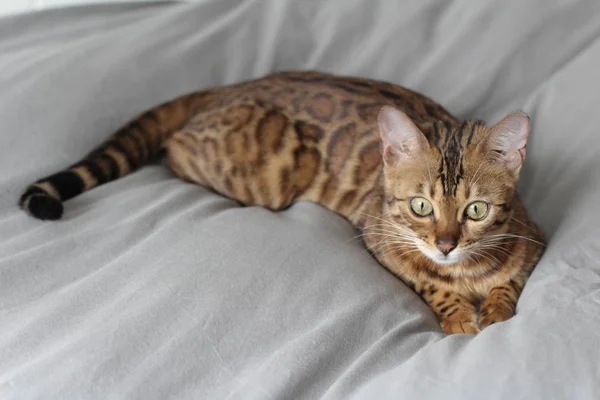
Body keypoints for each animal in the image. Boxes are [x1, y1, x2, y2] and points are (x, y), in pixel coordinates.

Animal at [18, 71, 548, 334]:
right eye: (420, 206)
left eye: (475, 210)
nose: (445, 244)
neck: (466, 272)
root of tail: (230, 85)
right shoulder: (379, 237)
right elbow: (429, 283)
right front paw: (458, 316)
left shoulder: (534, 239)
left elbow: (510, 282)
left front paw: (496, 310)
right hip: (270, 174)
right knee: (173, 147)